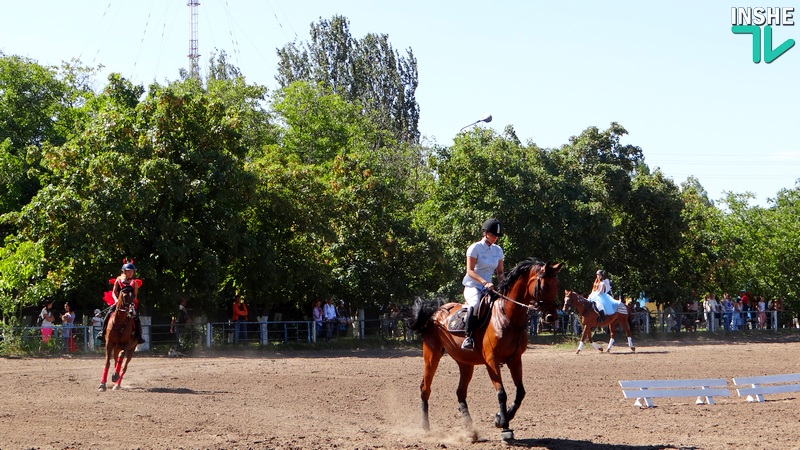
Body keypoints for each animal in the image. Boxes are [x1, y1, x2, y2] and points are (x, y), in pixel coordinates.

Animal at [410, 258, 560, 442]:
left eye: (556, 285)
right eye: (543, 286)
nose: (552, 317)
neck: (507, 317)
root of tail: (436, 312)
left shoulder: (515, 359)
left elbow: (520, 392)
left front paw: (501, 418)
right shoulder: (491, 361)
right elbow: (501, 393)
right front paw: (504, 427)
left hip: (465, 363)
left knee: (460, 392)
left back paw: (470, 430)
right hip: (432, 355)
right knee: (425, 388)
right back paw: (426, 428)